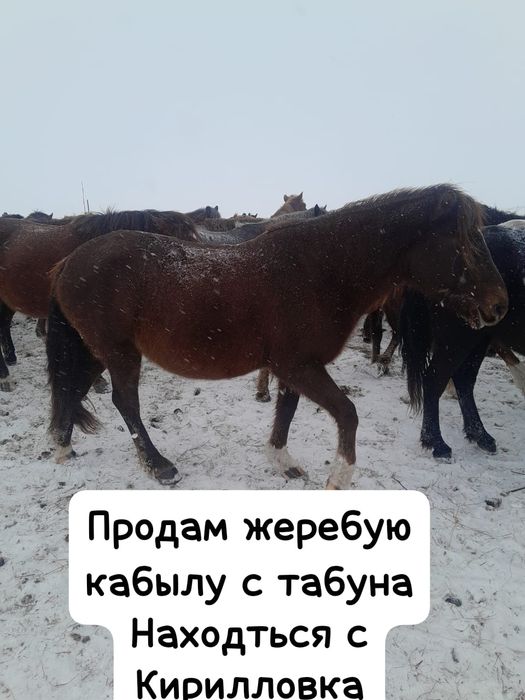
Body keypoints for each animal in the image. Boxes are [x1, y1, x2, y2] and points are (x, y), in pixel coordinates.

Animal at [46, 184, 507, 489]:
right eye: (464, 239)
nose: (500, 305)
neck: (320, 270)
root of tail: (69, 261)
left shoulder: (293, 367)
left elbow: (285, 412)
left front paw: (283, 462)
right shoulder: (299, 365)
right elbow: (347, 414)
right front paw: (339, 479)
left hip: (98, 351)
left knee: (73, 387)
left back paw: (64, 447)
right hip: (119, 352)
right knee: (125, 403)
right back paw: (159, 466)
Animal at [400, 218, 525, 459]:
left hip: (479, 338)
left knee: (464, 380)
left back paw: (480, 435)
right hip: (458, 338)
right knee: (435, 378)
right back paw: (436, 442)